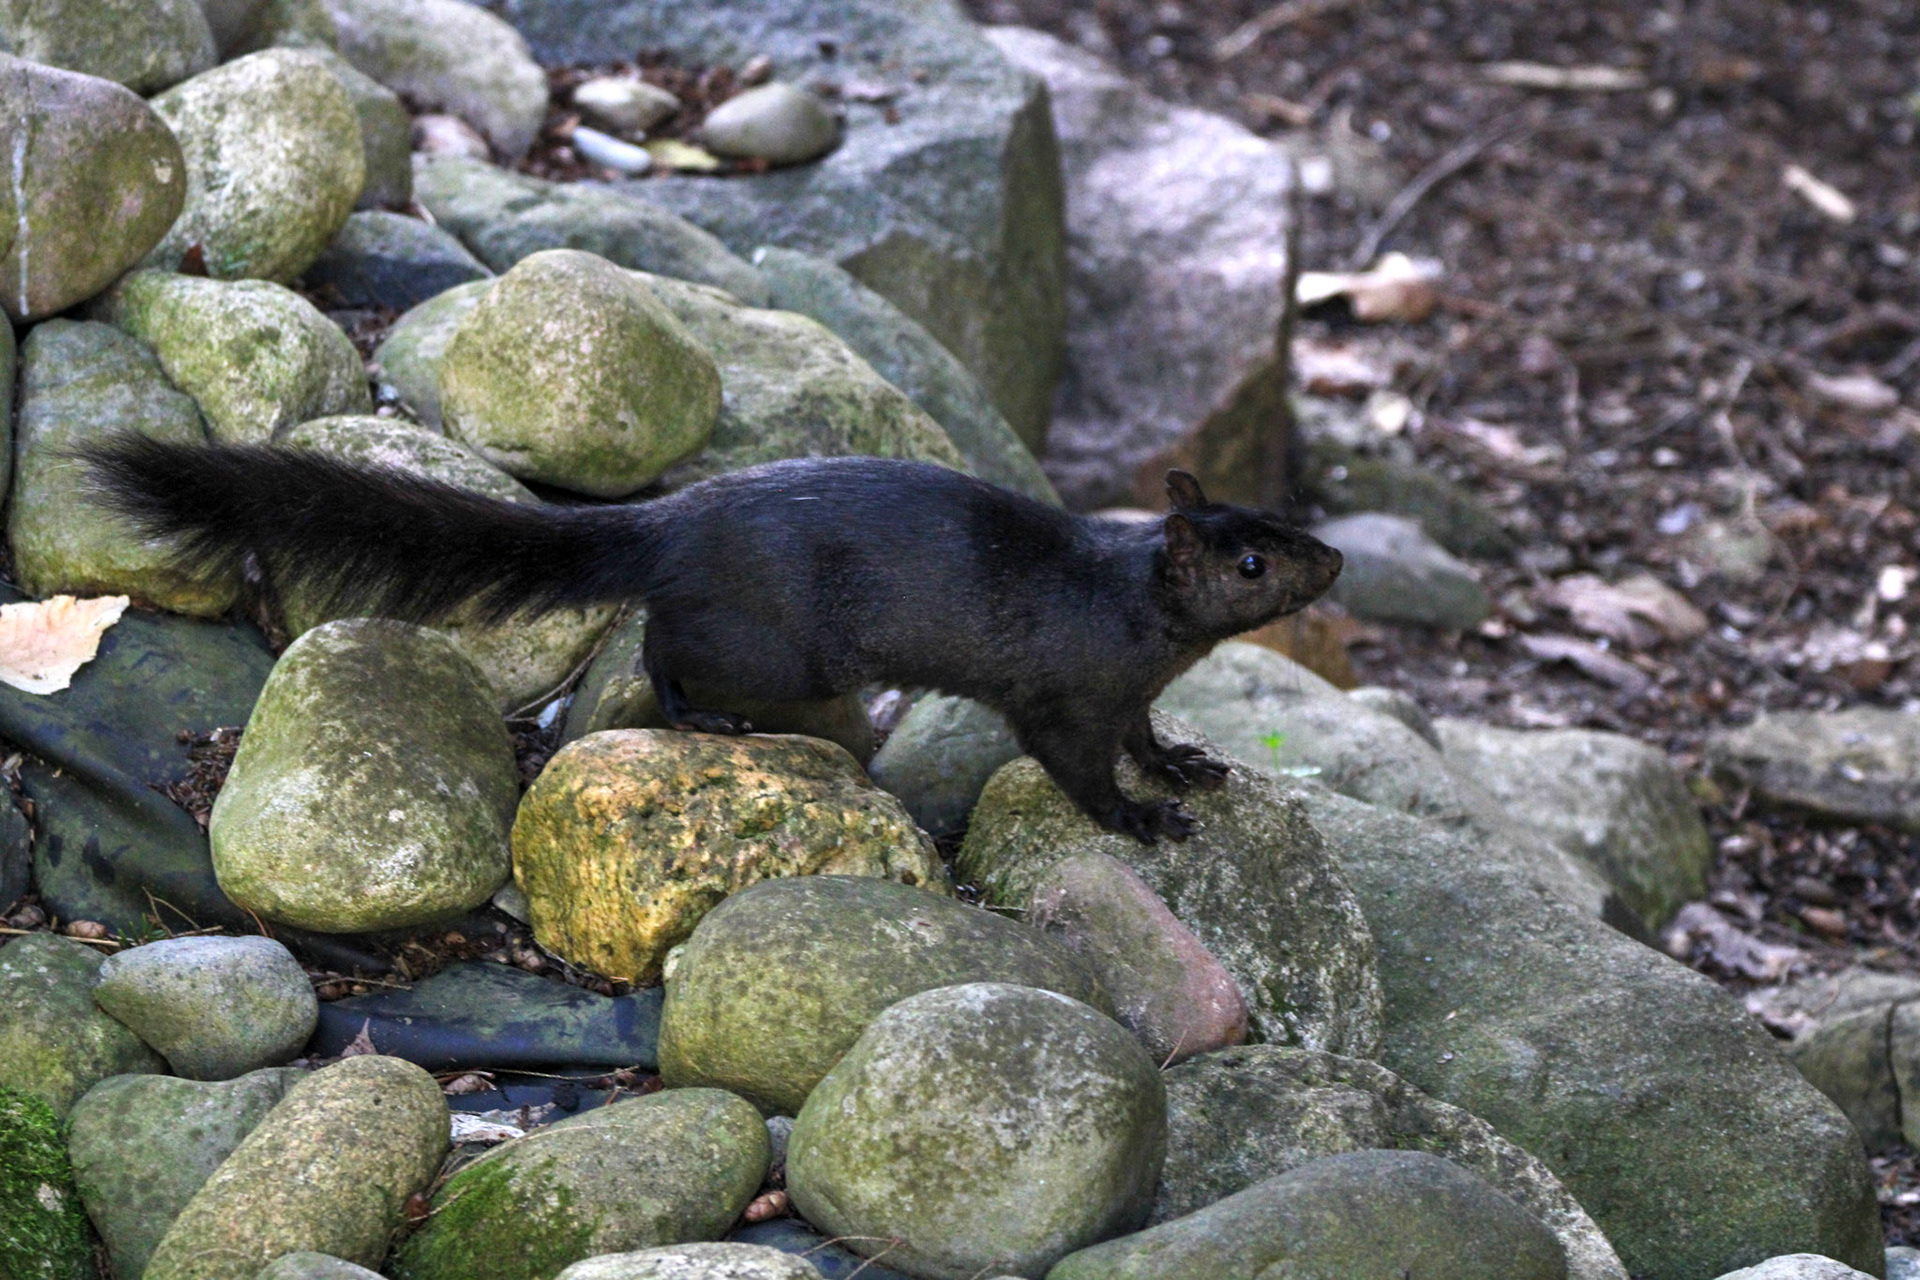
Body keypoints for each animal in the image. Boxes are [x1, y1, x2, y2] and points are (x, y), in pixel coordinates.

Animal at [83, 440, 1342, 843]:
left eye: (1286, 522)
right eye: (1253, 563)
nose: (1336, 562)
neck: (1127, 612)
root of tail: (671, 517)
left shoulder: (1126, 688)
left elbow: (1145, 732)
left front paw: (1189, 764)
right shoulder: (1062, 690)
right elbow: (1079, 764)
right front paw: (1145, 818)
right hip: (774, 645)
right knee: (660, 646)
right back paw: (704, 714)